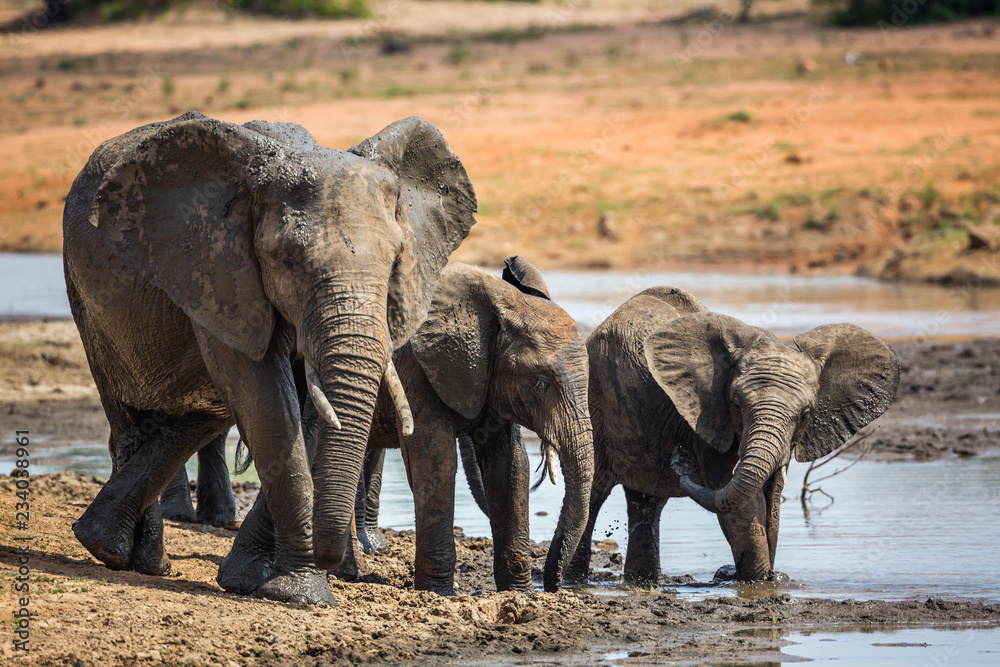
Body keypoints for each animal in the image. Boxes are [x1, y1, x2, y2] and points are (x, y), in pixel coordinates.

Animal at [62, 111, 477, 604]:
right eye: (287, 261)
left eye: (397, 260)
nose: (339, 562)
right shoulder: (220, 270)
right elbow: (271, 406)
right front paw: (303, 593)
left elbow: (310, 414)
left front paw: (253, 581)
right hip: (87, 296)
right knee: (130, 415)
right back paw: (120, 554)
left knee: (197, 419)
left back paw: (137, 556)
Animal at [227, 256, 594, 595]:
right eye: (541, 383)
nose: (553, 586)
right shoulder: (415, 370)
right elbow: (435, 461)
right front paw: (438, 592)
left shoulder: (489, 380)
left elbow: (510, 464)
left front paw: (517, 592)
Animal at [567, 286, 899, 585]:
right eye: (736, 404)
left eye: (806, 414)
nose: (680, 459)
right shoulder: (708, 418)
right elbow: (739, 503)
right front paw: (759, 583)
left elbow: (771, 497)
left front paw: (771, 579)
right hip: (594, 400)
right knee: (594, 491)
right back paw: (574, 580)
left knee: (647, 501)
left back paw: (642, 583)